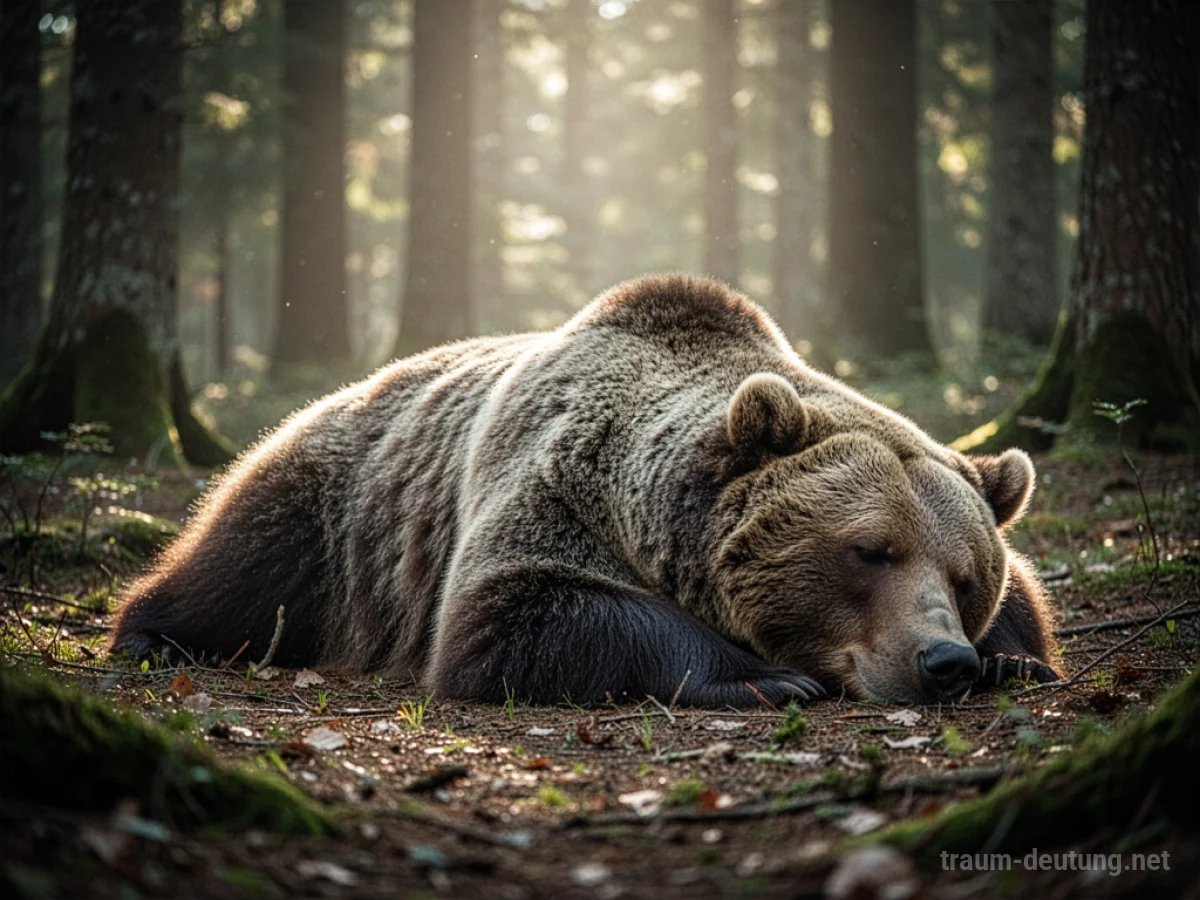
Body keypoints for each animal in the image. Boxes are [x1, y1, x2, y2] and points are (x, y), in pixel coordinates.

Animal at [111, 275, 1060, 707]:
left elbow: (1033, 598)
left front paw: (1013, 656)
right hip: (337, 510)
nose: (943, 660)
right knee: (243, 578)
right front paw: (768, 677)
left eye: (966, 576)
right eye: (870, 549)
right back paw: (153, 635)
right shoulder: (552, 487)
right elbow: (514, 615)